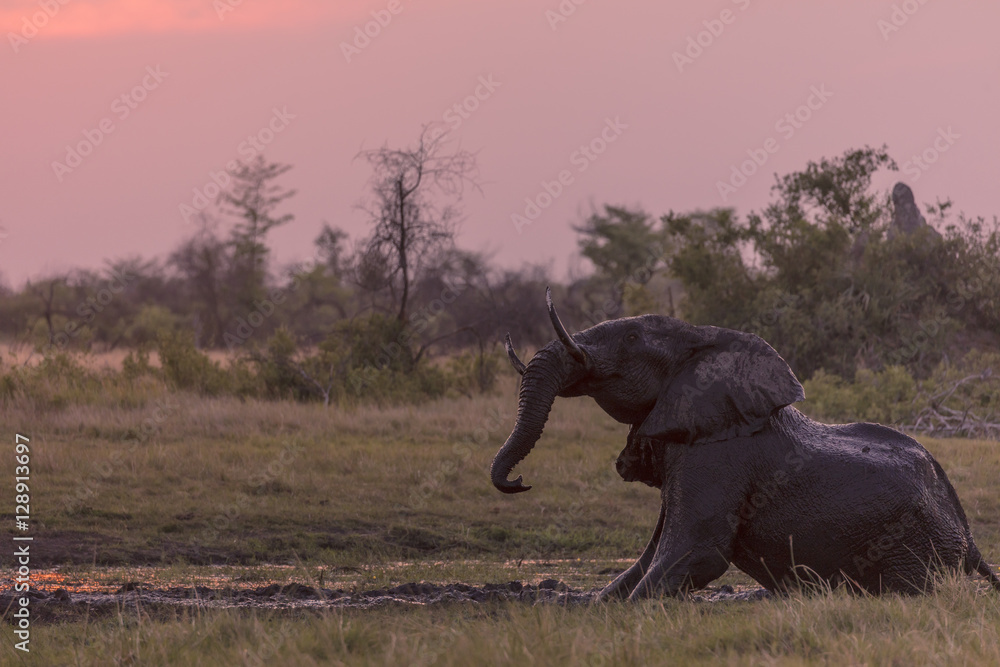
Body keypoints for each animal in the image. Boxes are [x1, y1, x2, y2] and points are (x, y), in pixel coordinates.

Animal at [491, 288, 1000, 600]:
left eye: (633, 337)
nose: (518, 481)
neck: (699, 336)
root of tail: (970, 537)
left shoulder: (716, 459)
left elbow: (696, 550)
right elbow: (649, 558)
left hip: (914, 547)